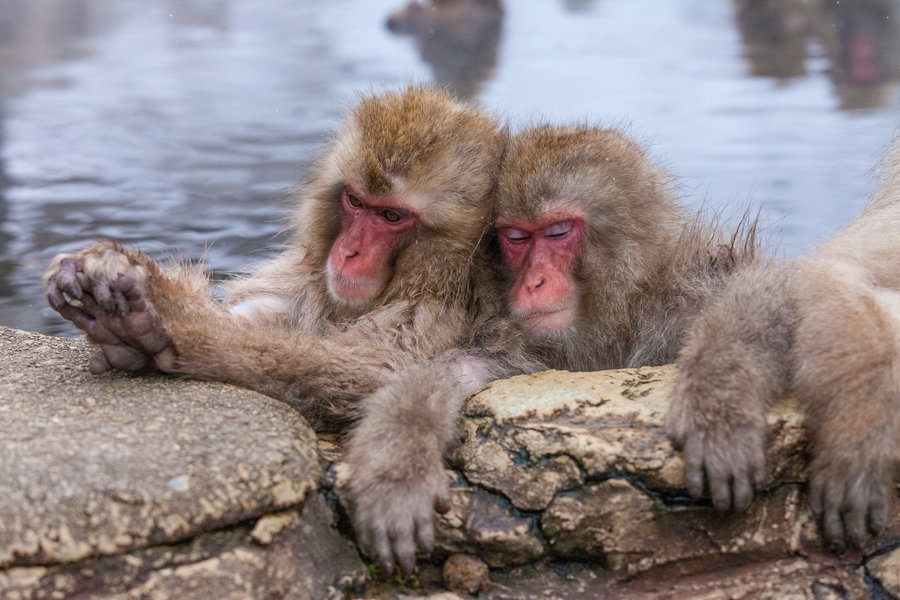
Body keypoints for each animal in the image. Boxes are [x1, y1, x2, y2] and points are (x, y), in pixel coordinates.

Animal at [42, 86, 507, 573]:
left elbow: (382, 371)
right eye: (356, 203)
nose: (349, 252)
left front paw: (174, 323)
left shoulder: (439, 313)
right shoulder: (308, 283)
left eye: (393, 217)